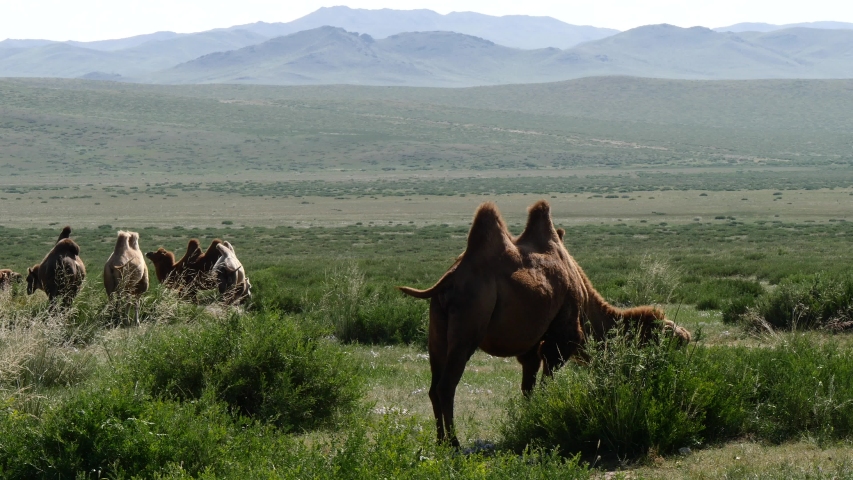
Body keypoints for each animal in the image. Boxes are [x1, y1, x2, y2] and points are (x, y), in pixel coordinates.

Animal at [396, 200, 688, 446]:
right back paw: (453, 444)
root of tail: (449, 278)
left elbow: (528, 388)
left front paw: (526, 421)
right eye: (664, 333)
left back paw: (440, 442)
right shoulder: (562, 339)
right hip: (469, 321)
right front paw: (543, 419)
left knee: (433, 386)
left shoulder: (531, 348)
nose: (686, 335)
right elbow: (547, 385)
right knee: (447, 386)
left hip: (437, 326)